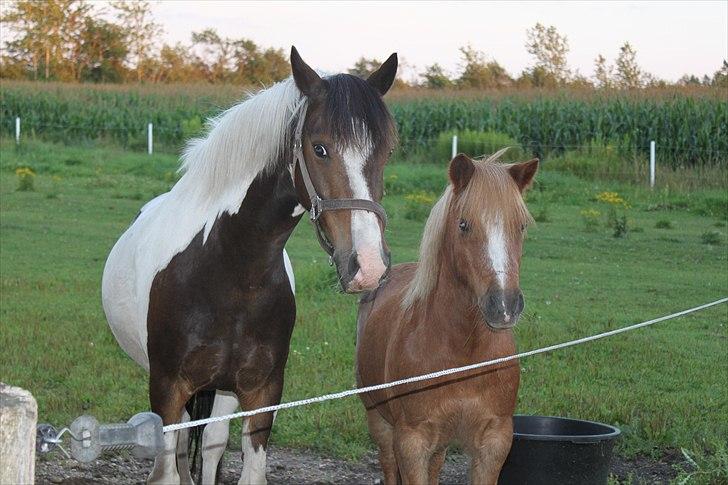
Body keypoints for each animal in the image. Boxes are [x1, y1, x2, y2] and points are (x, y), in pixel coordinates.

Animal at [101, 46, 398, 484]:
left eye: (386, 152)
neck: (232, 272)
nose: (369, 265)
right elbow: (168, 468)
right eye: (319, 148)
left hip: (223, 391)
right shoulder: (167, 388)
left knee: (211, 444)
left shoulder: (262, 392)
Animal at [356, 151, 536, 484]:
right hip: (379, 421)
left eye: (520, 226)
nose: (504, 305)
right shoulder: (412, 441)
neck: (465, 354)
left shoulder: (494, 441)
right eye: (463, 224)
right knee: (387, 464)